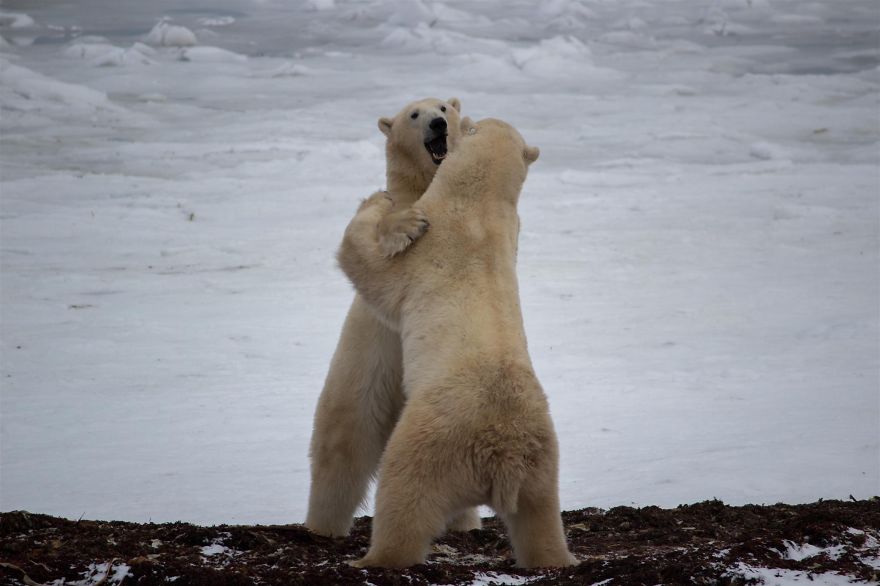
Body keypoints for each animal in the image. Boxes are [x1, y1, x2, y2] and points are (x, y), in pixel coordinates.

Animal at [304, 97, 482, 537]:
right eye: (413, 115)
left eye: (442, 107)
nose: (438, 124)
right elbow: (367, 236)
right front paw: (409, 223)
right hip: (360, 384)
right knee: (341, 458)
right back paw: (323, 526)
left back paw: (465, 524)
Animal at [336, 117, 577, 569]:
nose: (444, 123)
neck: (480, 203)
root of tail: (502, 452)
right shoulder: (511, 230)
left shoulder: (429, 245)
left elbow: (369, 267)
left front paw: (380, 202)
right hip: (542, 461)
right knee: (539, 519)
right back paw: (558, 558)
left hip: (432, 443)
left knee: (403, 497)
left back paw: (369, 558)